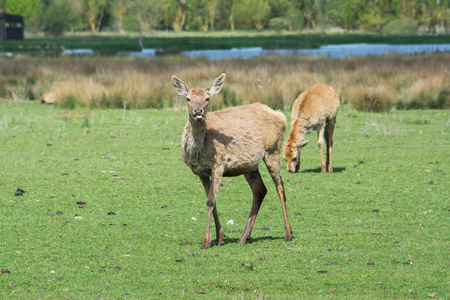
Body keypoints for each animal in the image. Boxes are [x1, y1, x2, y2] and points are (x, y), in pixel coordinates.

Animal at [171, 72, 292, 248]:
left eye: (207, 98)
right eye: (187, 98)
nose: (198, 111)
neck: (198, 152)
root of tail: (281, 115)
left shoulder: (219, 163)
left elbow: (210, 202)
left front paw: (206, 241)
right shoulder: (201, 172)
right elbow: (212, 201)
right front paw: (219, 238)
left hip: (273, 150)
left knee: (280, 187)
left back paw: (288, 234)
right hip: (250, 165)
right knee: (260, 190)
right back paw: (244, 237)